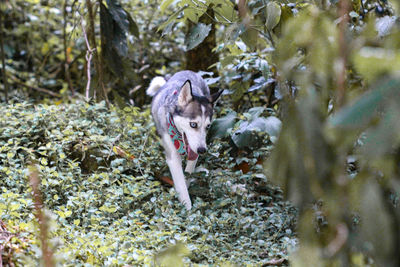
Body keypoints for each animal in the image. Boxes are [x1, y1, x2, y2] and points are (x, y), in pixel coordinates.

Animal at [147, 70, 222, 210]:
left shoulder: (194, 151)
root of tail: (188, 71)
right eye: (193, 124)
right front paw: (187, 208)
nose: (202, 150)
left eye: (208, 126)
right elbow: (180, 182)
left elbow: (188, 173)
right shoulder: (173, 157)